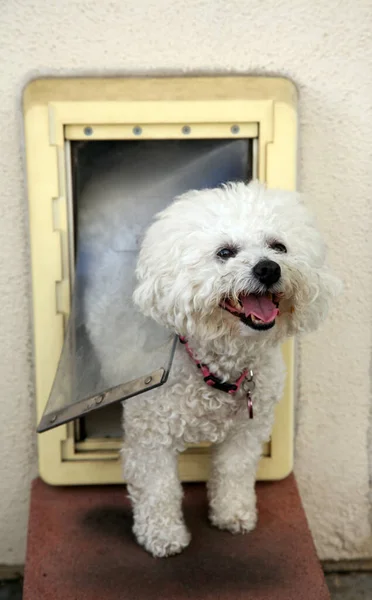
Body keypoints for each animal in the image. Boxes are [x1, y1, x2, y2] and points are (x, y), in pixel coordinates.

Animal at [81, 176, 340, 560]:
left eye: (279, 246)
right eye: (225, 252)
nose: (268, 268)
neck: (219, 366)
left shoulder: (247, 431)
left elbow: (234, 470)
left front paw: (233, 514)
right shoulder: (150, 438)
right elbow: (158, 489)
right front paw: (164, 536)